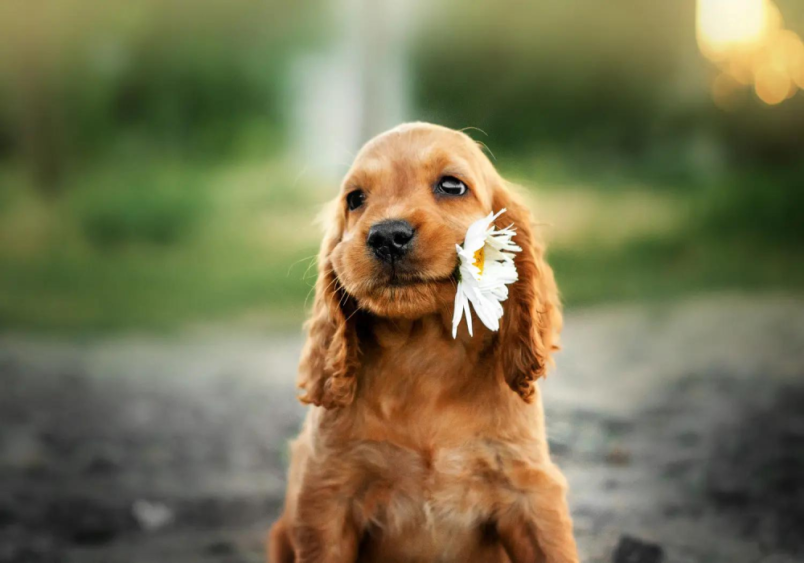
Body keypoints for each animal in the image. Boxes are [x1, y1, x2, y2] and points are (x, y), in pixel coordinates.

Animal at [270, 123, 576, 563]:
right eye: (355, 199)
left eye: (452, 185)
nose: (386, 236)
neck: (423, 352)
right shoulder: (326, 496)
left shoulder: (530, 488)